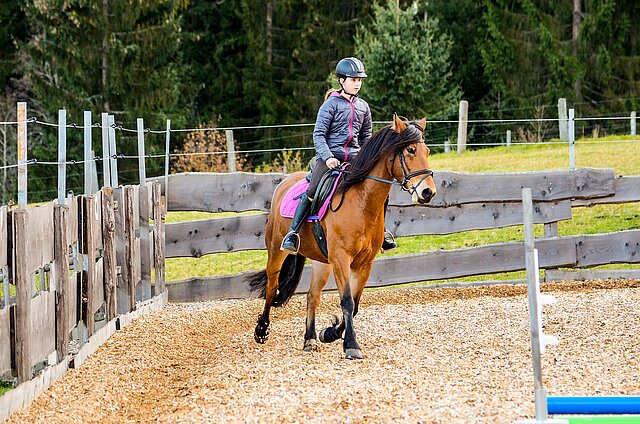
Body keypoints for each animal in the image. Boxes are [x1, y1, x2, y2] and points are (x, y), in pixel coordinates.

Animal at [244, 114, 436, 360]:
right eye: (411, 150)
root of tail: (284, 183)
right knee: (271, 288)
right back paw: (261, 330)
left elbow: (355, 303)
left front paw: (330, 333)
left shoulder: (364, 263)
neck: (361, 202)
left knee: (312, 296)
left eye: (427, 151)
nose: (428, 193)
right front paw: (351, 346)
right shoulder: (341, 259)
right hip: (276, 251)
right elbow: (346, 300)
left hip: (321, 262)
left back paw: (310, 339)